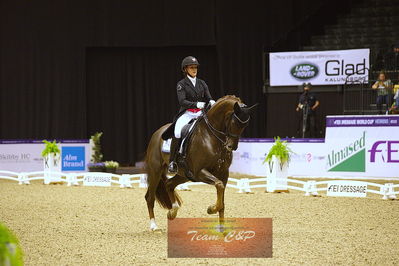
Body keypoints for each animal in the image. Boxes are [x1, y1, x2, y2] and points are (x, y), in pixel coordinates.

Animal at [145, 95, 258, 231]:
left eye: (245, 125)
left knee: (169, 184)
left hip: (185, 175)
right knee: (150, 197)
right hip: (155, 171)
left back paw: (172, 212)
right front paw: (211, 209)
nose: (231, 146)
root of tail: (157, 133)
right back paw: (154, 226)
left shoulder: (223, 173)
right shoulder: (200, 172)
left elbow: (222, 198)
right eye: (235, 122)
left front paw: (222, 229)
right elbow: (219, 185)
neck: (212, 137)